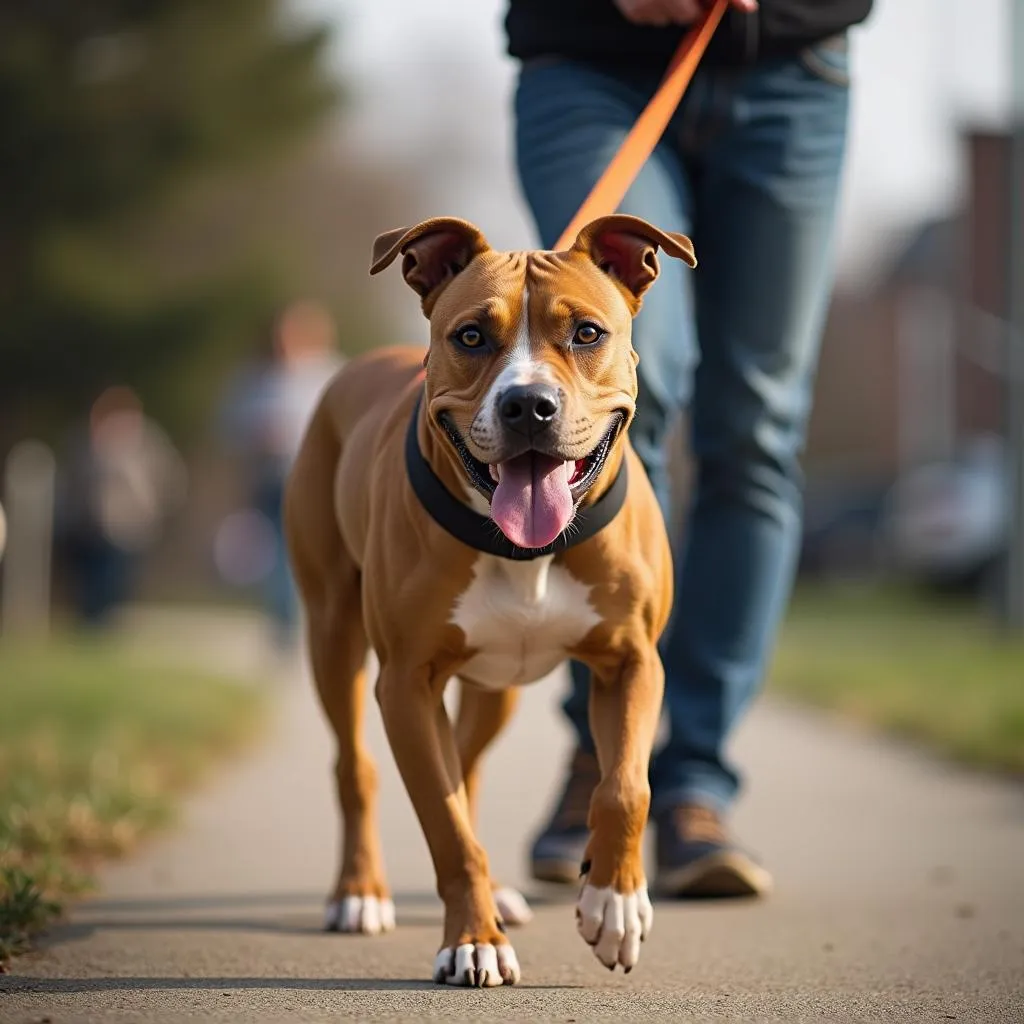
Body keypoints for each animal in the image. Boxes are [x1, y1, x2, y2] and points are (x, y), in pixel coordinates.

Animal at [280, 211, 696, 987]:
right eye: (471, 336)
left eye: (587, 332)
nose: (528, 404)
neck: (526, 552)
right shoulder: (405, 685)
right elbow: (446, 828)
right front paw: (473, 941)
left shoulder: (633, 662)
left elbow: (626, 786)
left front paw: (616, 904)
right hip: (333, 636)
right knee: (356, 766)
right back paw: (359, 893)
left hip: (496, 685)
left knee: (467, 763)